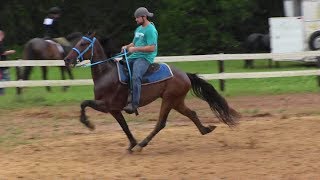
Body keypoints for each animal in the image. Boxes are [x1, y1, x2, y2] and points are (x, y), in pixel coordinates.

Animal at [64, 32, 240, 152]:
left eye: (82, 44)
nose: (67, 59)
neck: (106, 74)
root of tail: (184, 74)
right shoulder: (114, 110)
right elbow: (124, 126)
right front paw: (131, 143)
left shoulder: (107, 105)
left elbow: (84, 103)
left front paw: (88, 123)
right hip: (177, 101)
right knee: (192, 114)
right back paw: (206, 129)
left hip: (169, 100)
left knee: (160, 123)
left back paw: (142, 144)